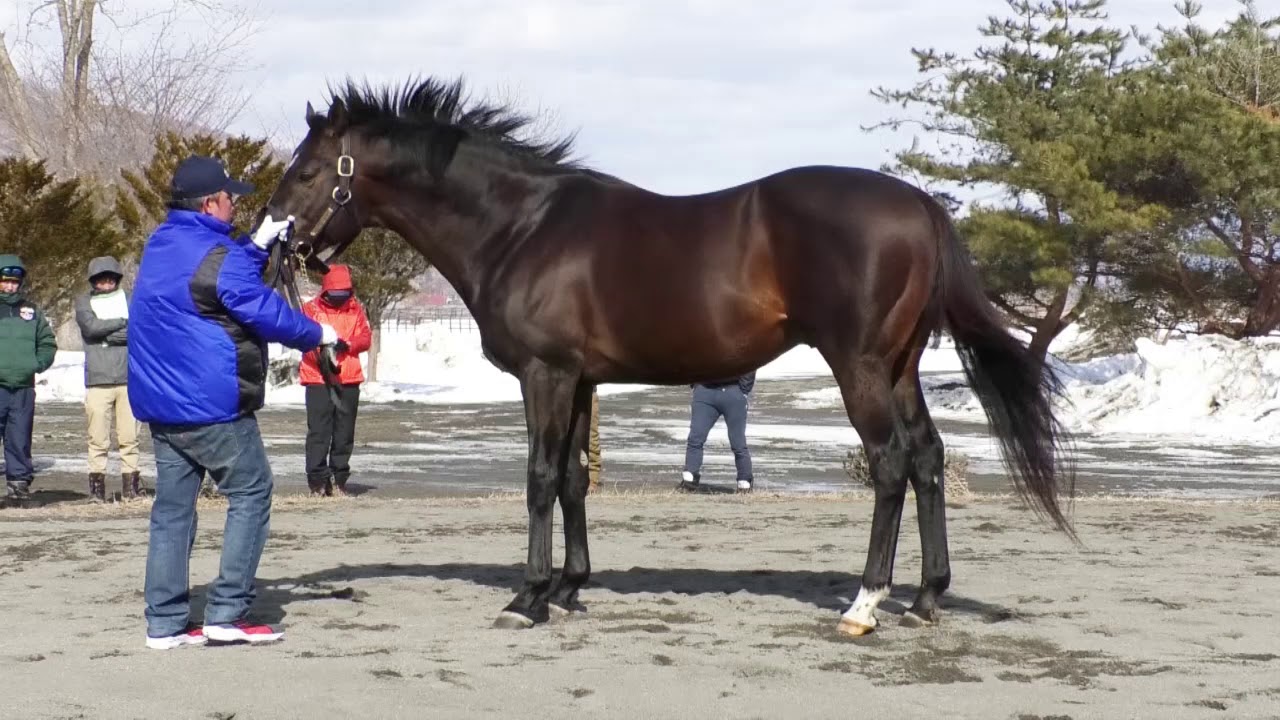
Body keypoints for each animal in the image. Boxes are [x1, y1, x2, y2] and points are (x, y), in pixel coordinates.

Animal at [263, 76, 1075, 636]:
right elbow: (572, 480)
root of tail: (922, 205)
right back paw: (926, 598)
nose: (272, 239)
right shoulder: (580, 379)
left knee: (890, 464)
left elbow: (538, 478)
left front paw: (527, 598)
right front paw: (569, 589)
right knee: (930, 459)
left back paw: (865, 603)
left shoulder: (546, 375)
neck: (523, 226)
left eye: (306, 171)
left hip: (863, 369)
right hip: (901, 368)